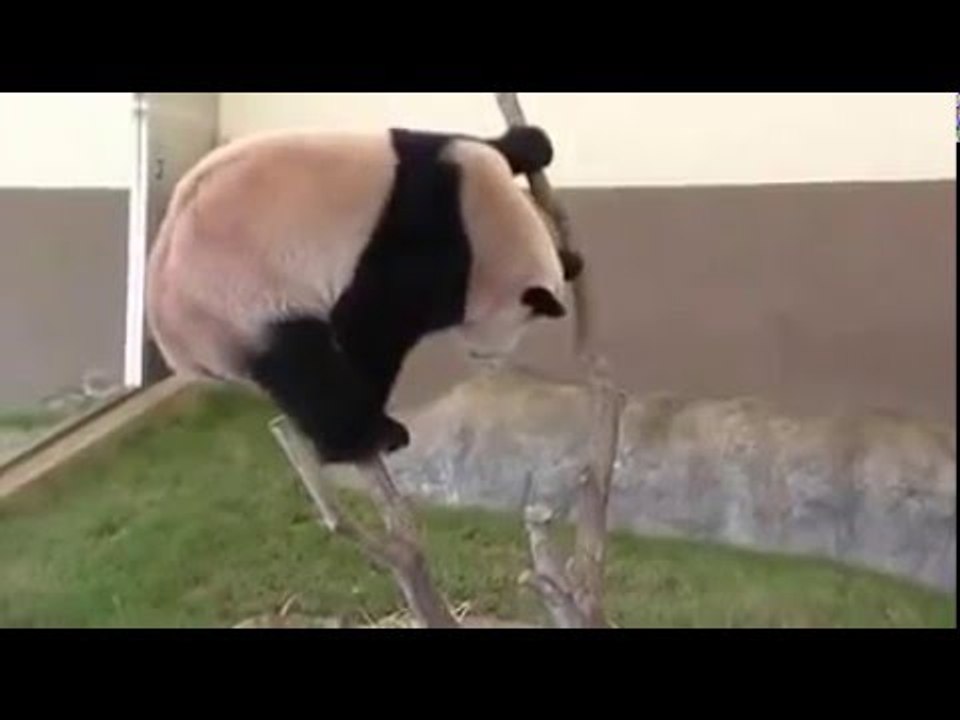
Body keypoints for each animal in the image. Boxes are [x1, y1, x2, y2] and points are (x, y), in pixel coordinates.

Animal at [146, 125, 584, 464]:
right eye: (526, 322)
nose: (489, 357)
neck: (483, 222)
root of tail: (179, 350)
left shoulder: (438, 159)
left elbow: (478, 143)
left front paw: (533, 145)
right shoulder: (418, 253)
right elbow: (371, 326)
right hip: (239, 300)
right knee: (303, 365)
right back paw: (365, 438)